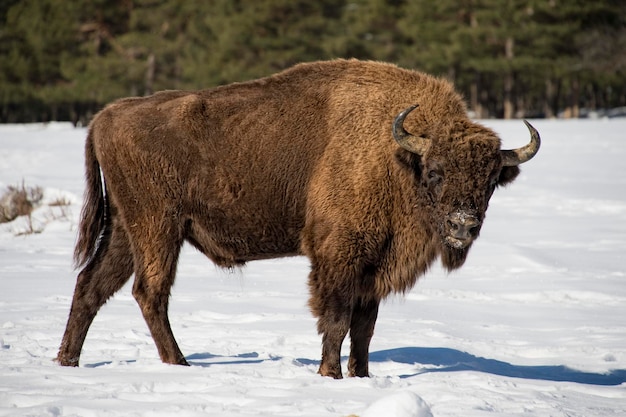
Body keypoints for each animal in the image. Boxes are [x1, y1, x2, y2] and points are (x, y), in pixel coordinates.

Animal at [56, 57, 540, 378]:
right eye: (436, 171)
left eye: (491, 180)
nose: (463, 226)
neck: (396, 156)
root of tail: (105, 116)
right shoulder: (340, 256)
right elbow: (337, 319)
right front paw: (331, 374)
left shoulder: (373, 268)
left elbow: (365, 327)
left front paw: (362, 376)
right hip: (158, 228)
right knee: (149, 292)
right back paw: (180, 363)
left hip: (125, 229)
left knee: (91, 286)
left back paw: (68, 361)